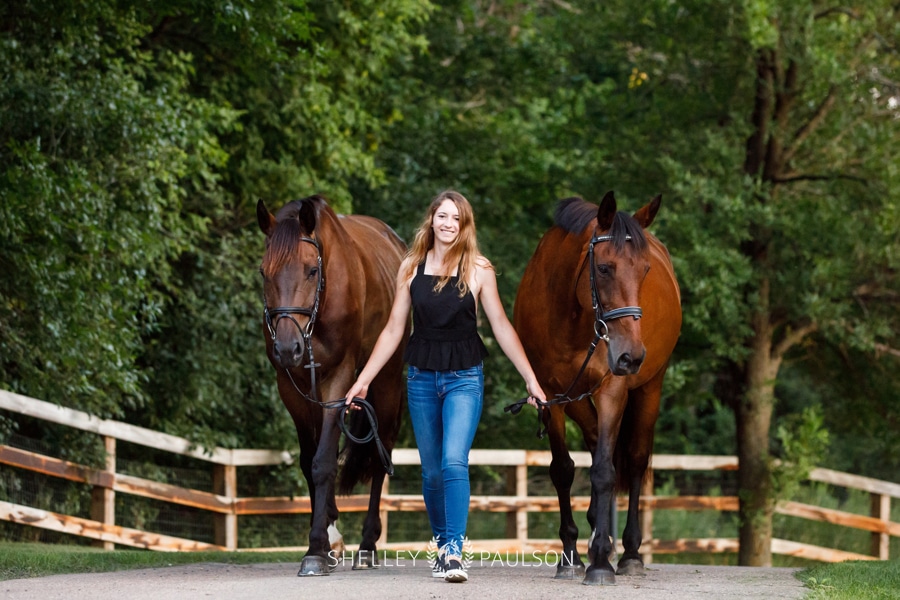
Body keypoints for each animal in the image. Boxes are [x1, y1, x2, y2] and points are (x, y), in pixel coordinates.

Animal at [255, 196, 406, 576]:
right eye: (264, 271)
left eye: (312, 270)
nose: (287, 348)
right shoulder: (292, 388)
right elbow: (309, 461)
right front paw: (328, 539)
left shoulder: (338, 379)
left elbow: (323, 462)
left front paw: (315, 549)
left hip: (386, 381)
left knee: (381, 455)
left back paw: (368, 546)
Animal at [512, 192, 684, 584]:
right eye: (604, 268)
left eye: (645, 270)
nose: (631, 356)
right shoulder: (550, 395)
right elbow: (563, 470)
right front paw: (571, 555)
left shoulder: (612, 390)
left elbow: (606, 471)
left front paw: (602, 561)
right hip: (577, 398)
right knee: (594, 440)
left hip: (650, 387)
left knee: (633, 460)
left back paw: (629, 552)